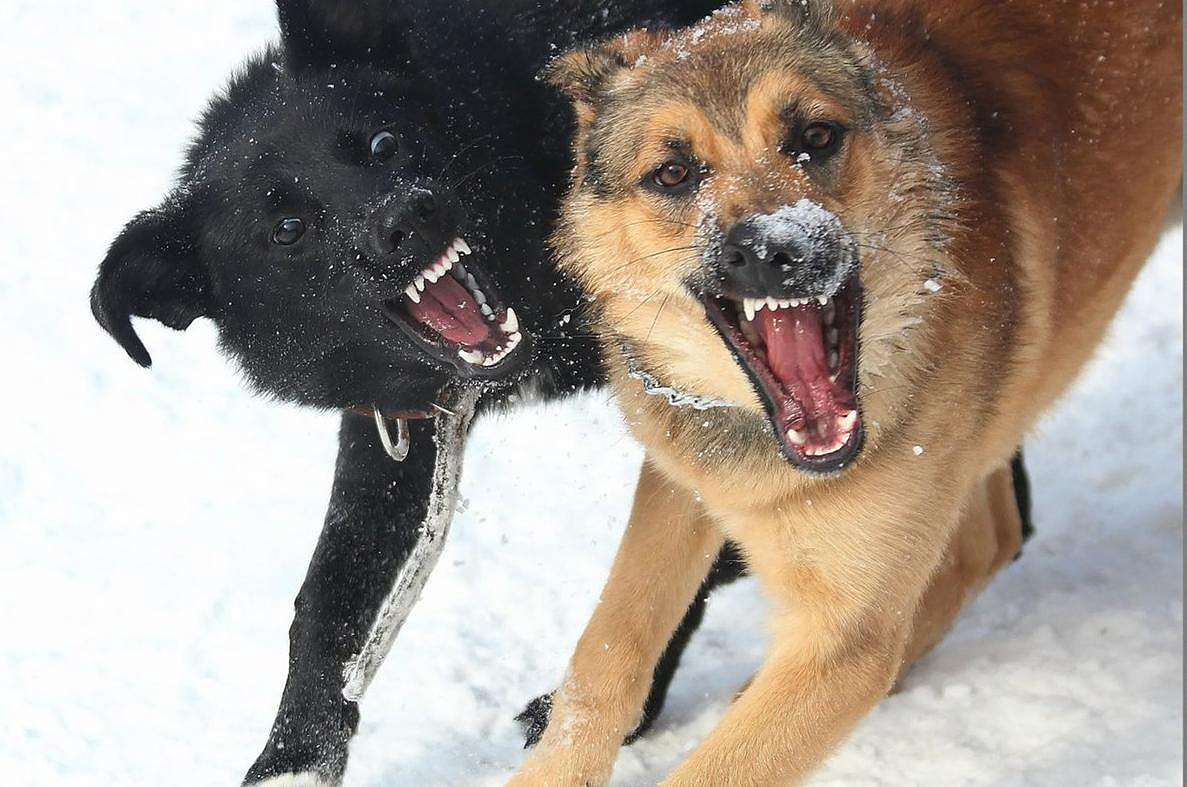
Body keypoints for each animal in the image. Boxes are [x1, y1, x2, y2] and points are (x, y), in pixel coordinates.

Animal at [92, 3, 745, 783]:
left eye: (383, 142)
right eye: (287, 230)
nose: (406, 218)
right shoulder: (395, 431)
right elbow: (328, 601)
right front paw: (293, 757)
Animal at [508, 1, 1177, 787]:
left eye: (816, 136)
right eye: (673, 173)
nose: (773, 249)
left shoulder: (843, 638)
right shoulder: (683, 475)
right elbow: (605, 651)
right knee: (992, 536)